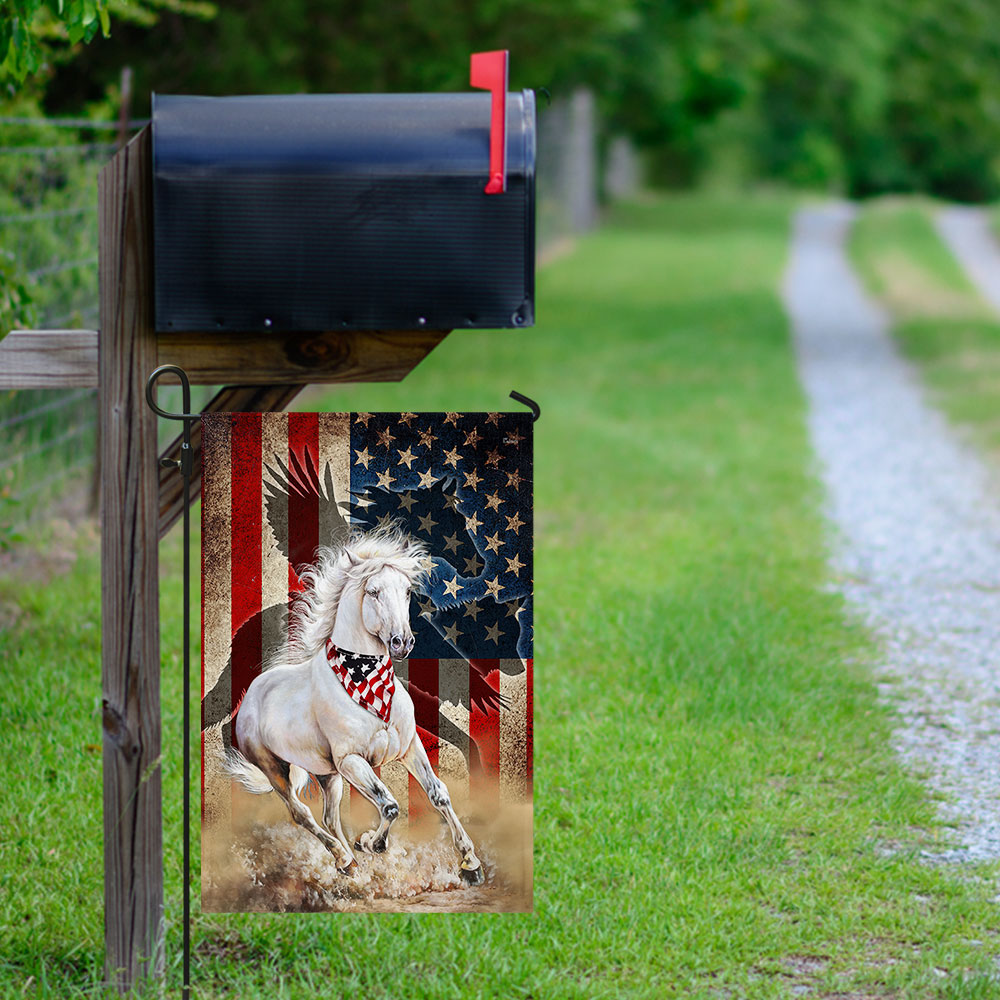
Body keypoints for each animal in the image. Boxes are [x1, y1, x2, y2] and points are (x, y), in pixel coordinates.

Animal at [225, 524, 482, 884]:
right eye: (373, 591)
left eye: (407, 591)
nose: (402, 643)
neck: (367, 685)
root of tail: (252, 693)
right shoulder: (352, 761)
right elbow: (390, 805)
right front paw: (372, 843)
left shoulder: (408, 747)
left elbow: (438, 793)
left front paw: (470, 863)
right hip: (274, 768)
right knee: (301, 813)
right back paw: (345, 858)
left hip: (327, 774)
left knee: (329, 817)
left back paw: (351, 866)